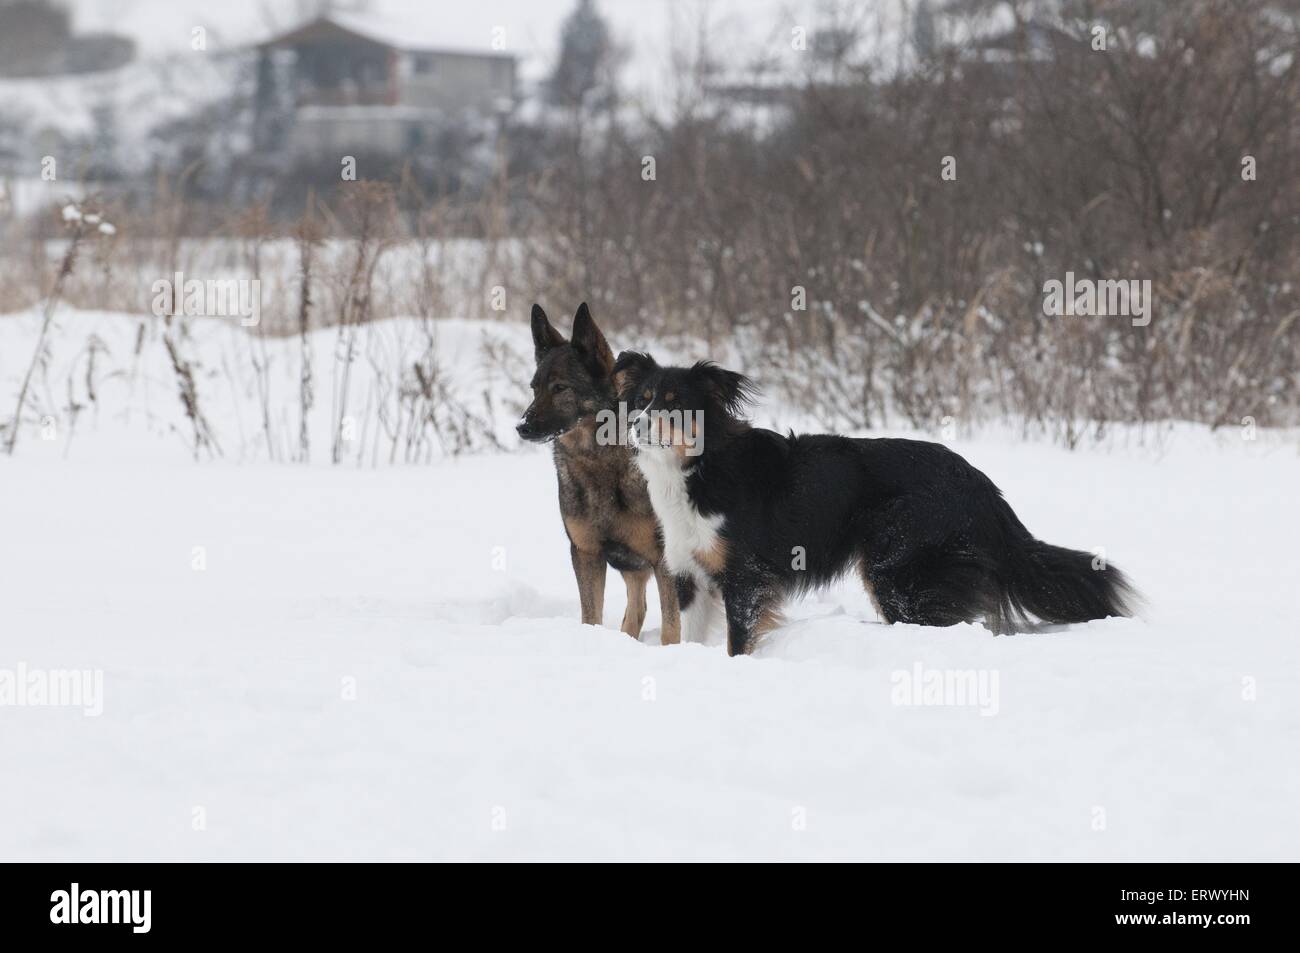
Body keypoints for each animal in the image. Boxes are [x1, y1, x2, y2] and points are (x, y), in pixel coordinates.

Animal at [613, 348, 1133, 655]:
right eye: (642, 400)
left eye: (674, 403)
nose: (634, 424)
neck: (699, 467)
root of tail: (982, 486)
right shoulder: (688, 571)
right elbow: (687, 632)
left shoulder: (746, 575)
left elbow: (738, 638)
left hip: (898, 568)